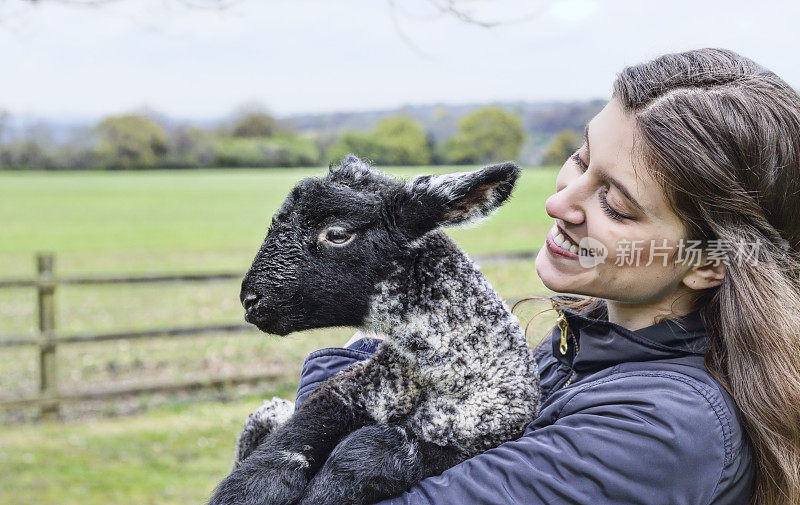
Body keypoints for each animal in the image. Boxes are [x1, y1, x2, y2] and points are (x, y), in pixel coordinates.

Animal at [209, 156, 540, 504]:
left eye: (337, 234)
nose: (250, 299)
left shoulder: (454, 437)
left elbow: (361, 458)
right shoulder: (343, 396)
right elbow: (267, 468)